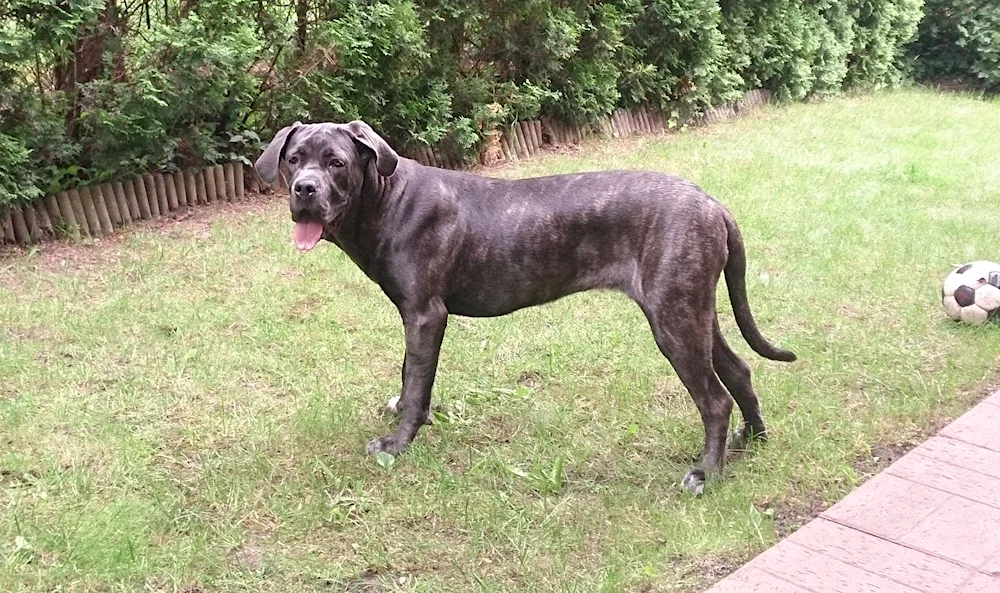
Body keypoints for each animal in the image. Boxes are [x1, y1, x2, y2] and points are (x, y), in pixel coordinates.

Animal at [258, 120, 796, 494]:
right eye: (294, 159)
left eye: (336, 163)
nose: (304, 189)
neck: (386, 199)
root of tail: (712, 203)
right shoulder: (414, 315)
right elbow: (411, 374)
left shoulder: (426, 313)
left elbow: (415, 381)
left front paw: (397, 443)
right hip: (694, 310)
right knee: (739, 370)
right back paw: (751, 440)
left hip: (674, 320)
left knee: (714, 399)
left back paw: (706, 473)